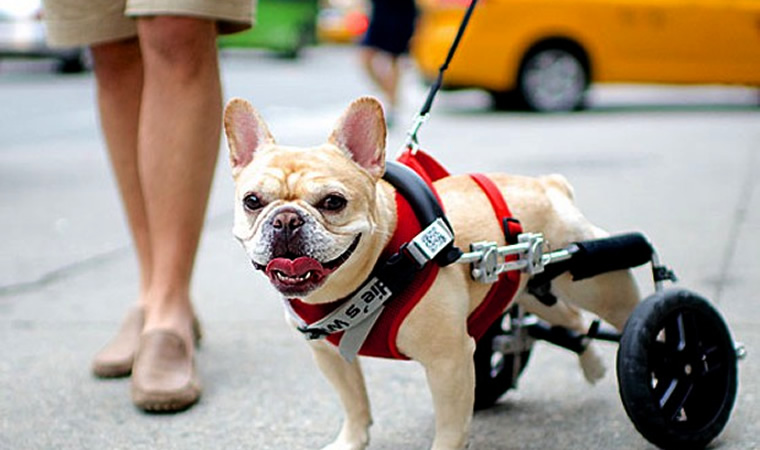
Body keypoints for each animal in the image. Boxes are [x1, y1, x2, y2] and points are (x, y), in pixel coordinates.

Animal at [221, 97, 640, 450]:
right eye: (252, 201)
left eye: (333, 202)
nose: (286, 220)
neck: (378, 270)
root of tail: (547, 185)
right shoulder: (329, 355)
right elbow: (354, 402)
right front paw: (351, 442)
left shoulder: (449, 363)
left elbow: (451, 428)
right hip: (532, 291)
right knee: (571, 318)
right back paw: (592, 364)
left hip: (597, 281)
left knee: (623, 312)